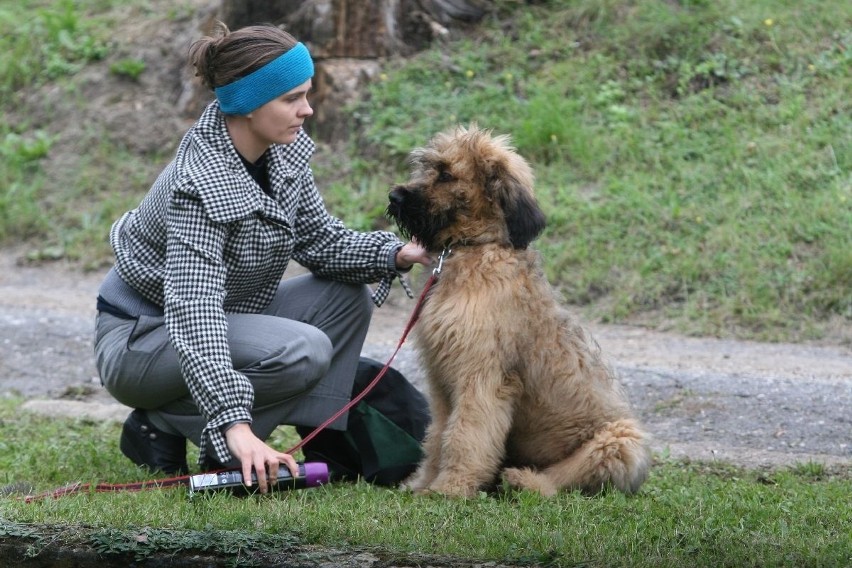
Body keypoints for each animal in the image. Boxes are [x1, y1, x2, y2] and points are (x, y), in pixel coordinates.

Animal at [386, 127, 652, 496]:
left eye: (446, 174)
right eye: (428, 168)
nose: (394, 197)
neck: (475, 249)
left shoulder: (483, 376)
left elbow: (465, 434)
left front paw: (451, 487)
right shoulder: (441, 381)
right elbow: (438, 434)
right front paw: (424, 482)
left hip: (623, 439)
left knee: (564, 479)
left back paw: (523, 479)